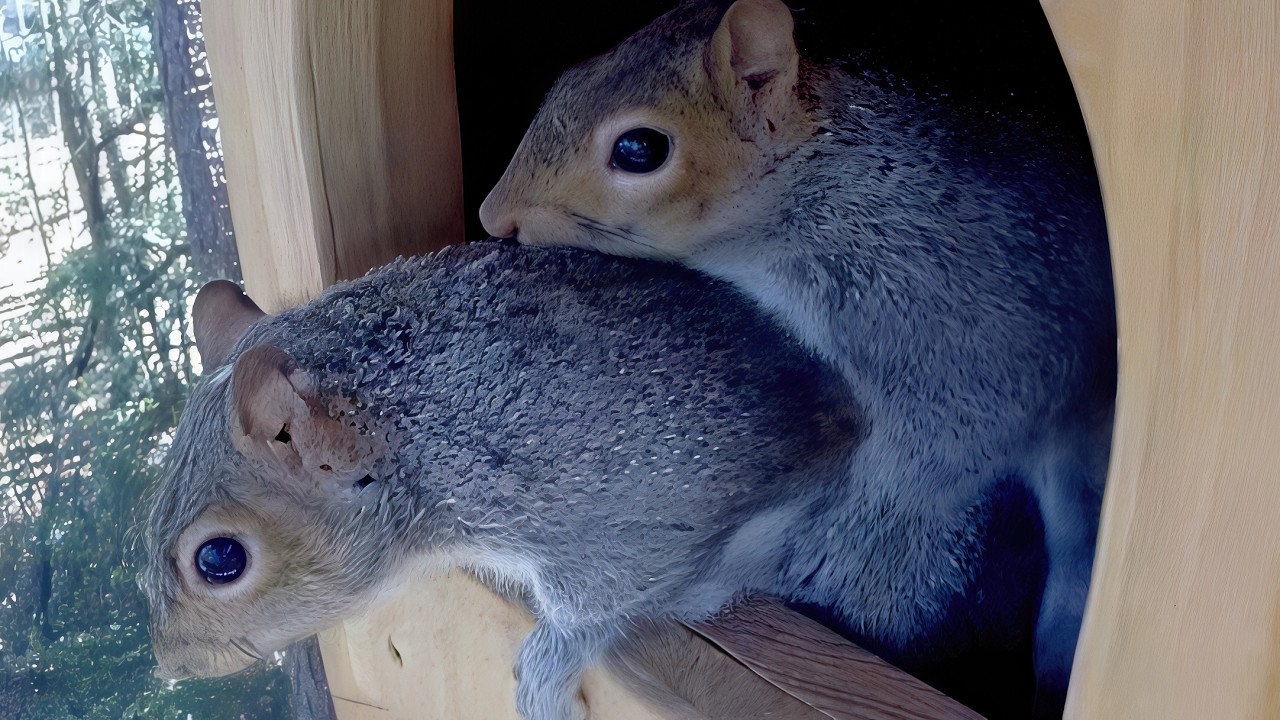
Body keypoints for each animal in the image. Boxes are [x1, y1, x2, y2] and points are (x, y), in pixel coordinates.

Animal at [141, 242, 864, 720]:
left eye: (220, 559)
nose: (173, 666)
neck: (419, 430)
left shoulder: (612, 498)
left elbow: (603, 595)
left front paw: (545, 673)